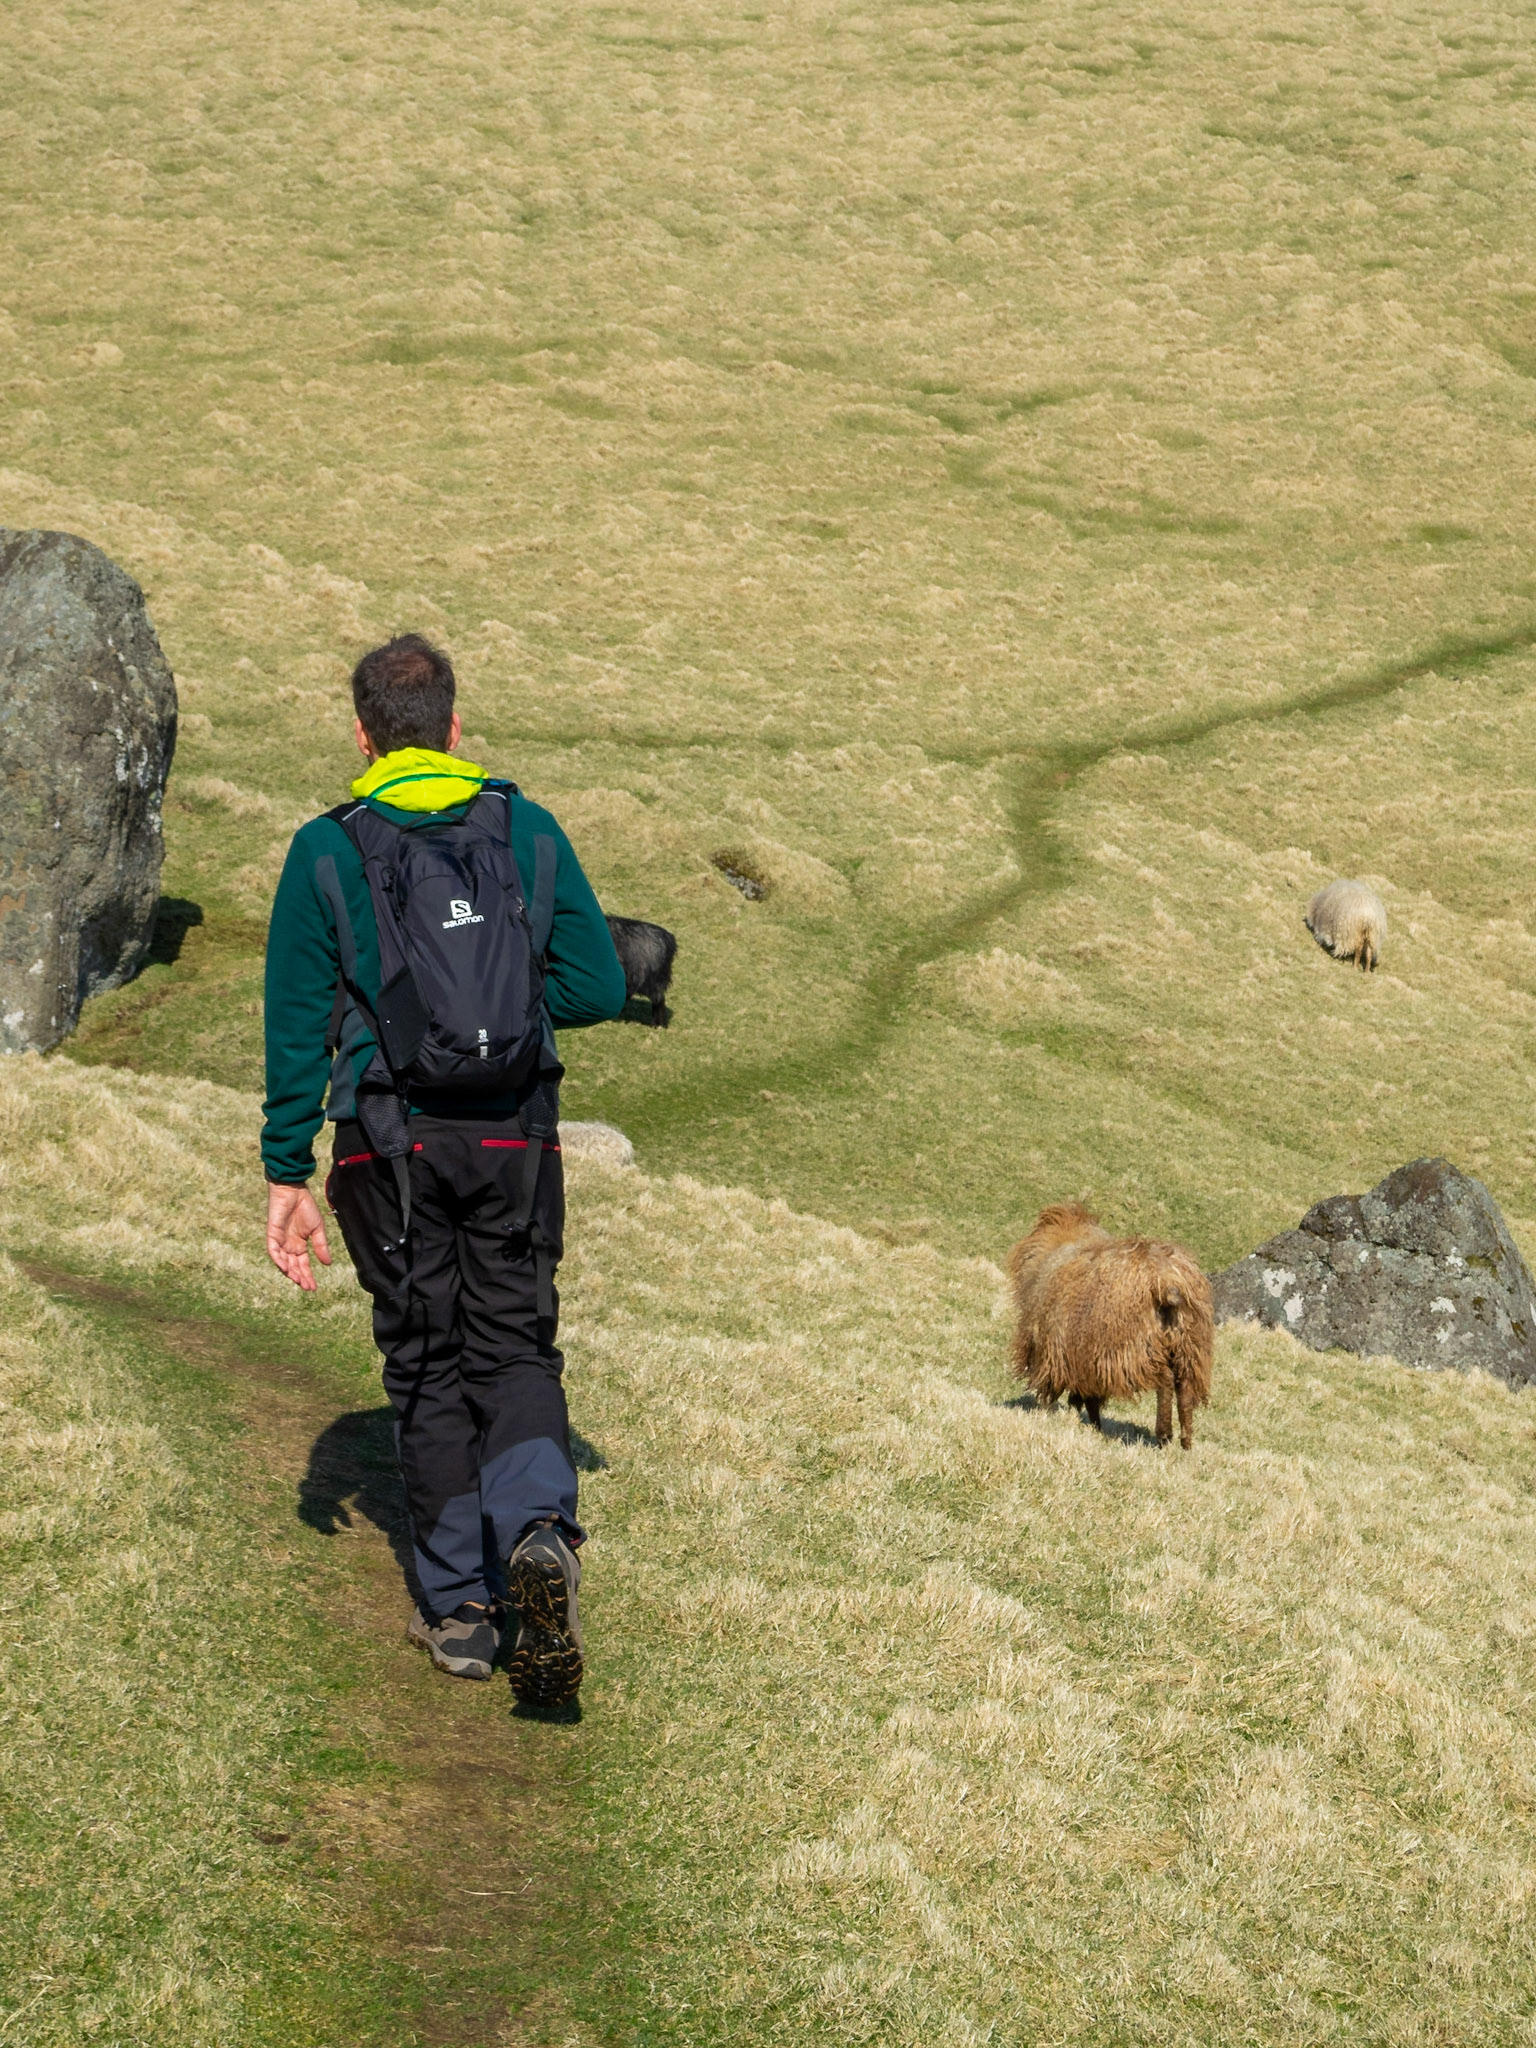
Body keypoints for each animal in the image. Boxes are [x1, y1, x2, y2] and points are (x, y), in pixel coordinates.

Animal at [1007, 1202, 1214, 1449]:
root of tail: (1167, 1280)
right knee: (1184, 1389)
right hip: (1189, 1346)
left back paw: (1163, 1435)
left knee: (1164, 1381)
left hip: (1138, 1346)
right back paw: (1186, 1441)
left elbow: (1077, 1394)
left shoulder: (1063, 1354)